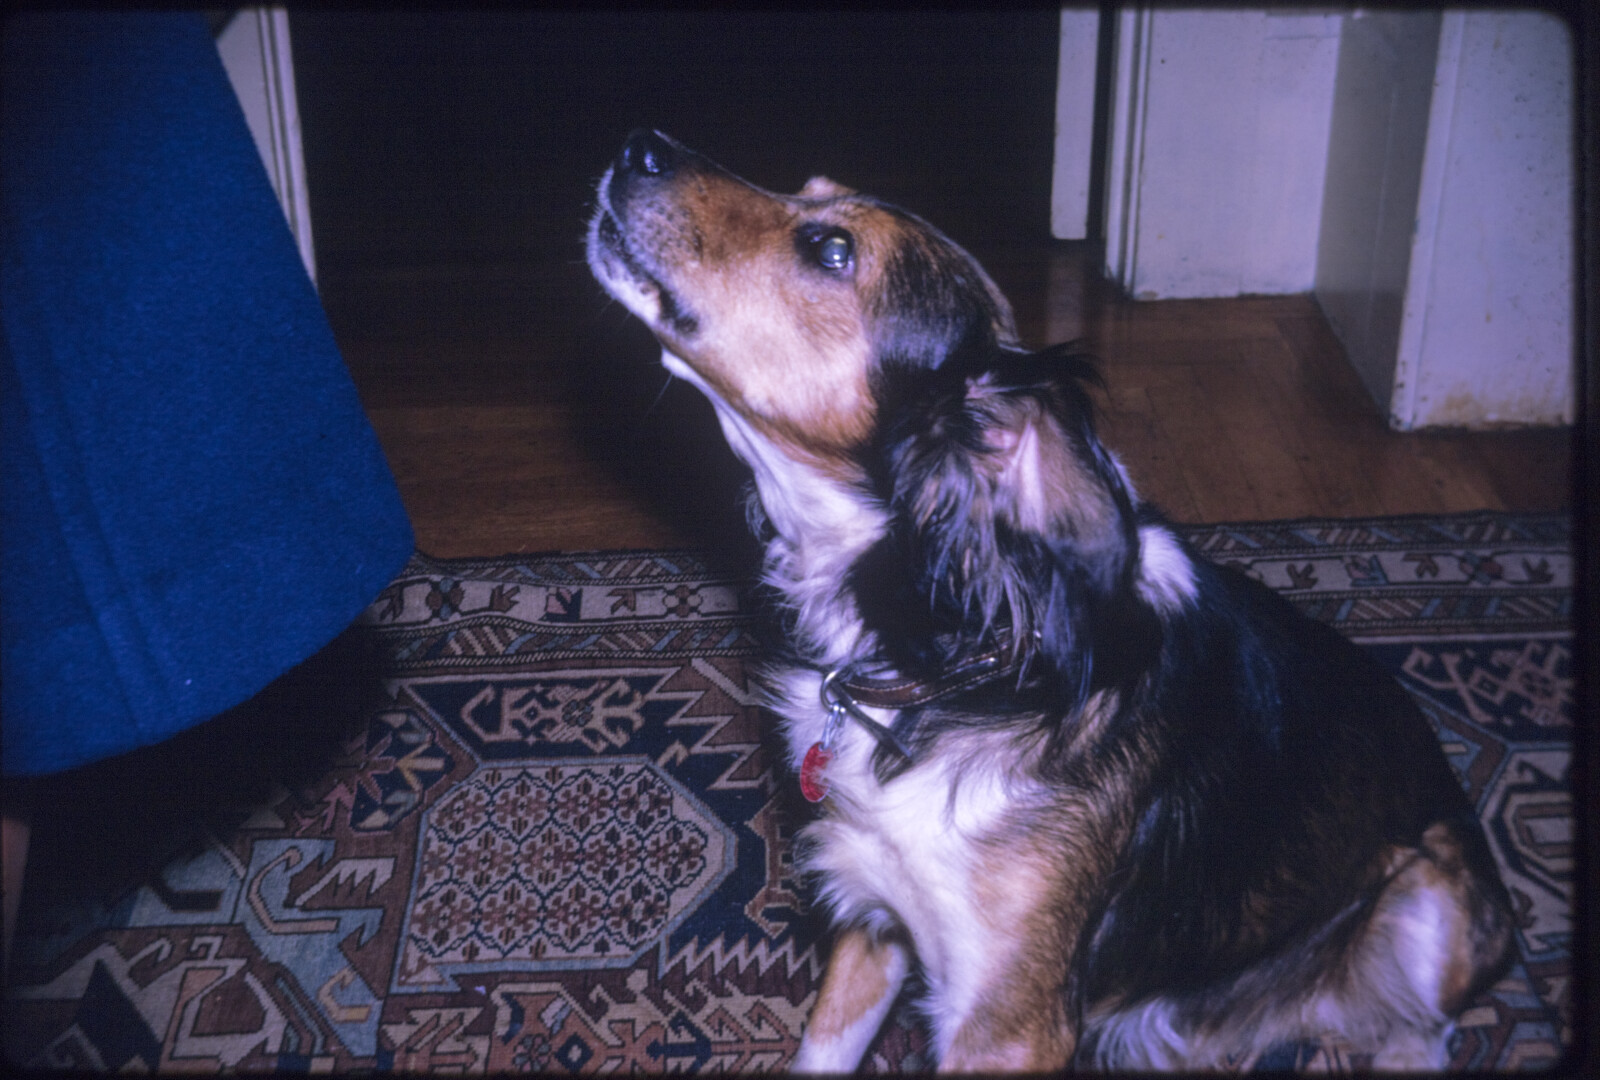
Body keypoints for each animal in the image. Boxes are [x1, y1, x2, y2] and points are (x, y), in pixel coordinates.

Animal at [586, 129, 1513, 1071]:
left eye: (833, 250)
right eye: (805, 192)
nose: (638, 145)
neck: (951, 656)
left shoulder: (1007, 1026)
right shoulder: (873, 923)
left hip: (1437, 900)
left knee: (1411, 1032)